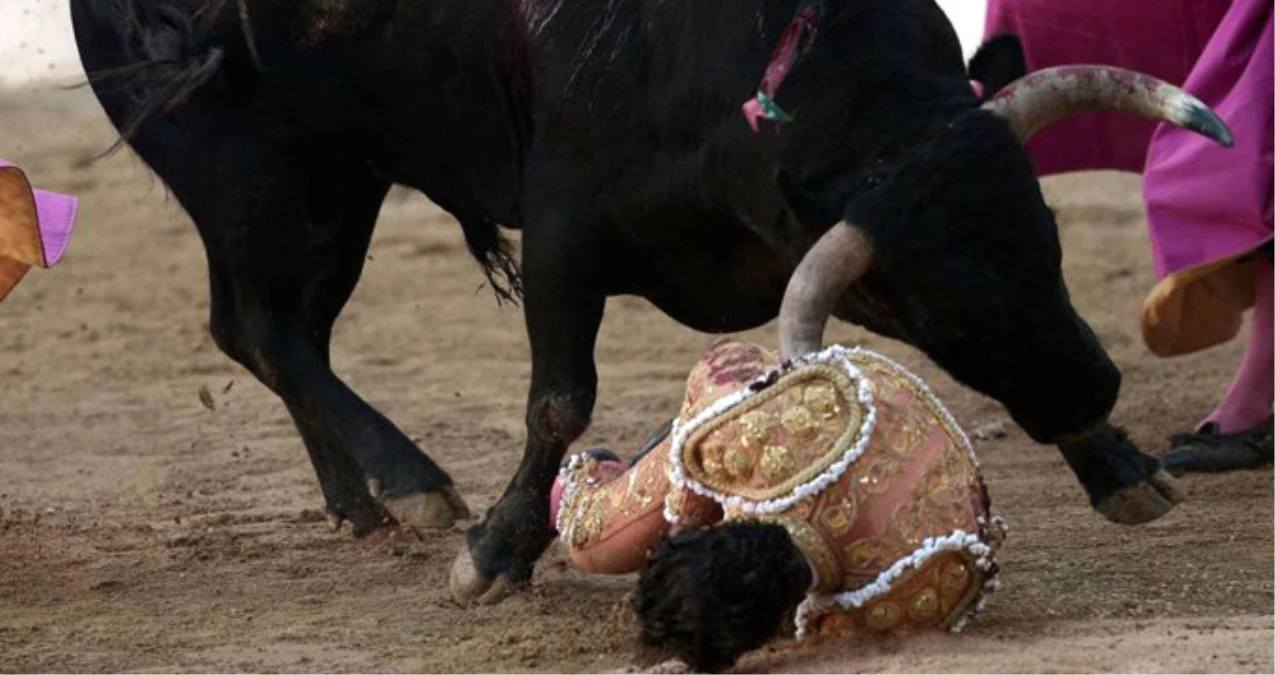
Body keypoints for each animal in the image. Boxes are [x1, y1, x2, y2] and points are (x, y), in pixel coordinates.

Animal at [69, 0, 1234, 599]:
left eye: (1047, 240)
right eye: (931, 304)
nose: (1095, 389)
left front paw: (1119, 466)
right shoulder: (565, 228)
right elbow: (558, 401)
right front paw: (492, 553)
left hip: (333, 185)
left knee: (281, 331)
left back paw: (359, 501)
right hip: (245, 169)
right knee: (265, 330)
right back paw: (412, 484)